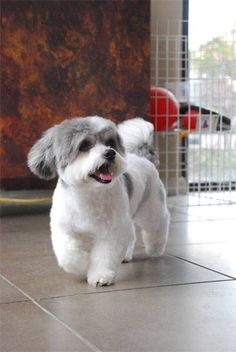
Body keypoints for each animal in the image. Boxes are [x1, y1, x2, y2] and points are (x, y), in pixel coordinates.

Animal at [28, 115, 170, 286]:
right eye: (84, 145)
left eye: (110, 143)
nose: (110, 153)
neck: (89, 194)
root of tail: (142, 157)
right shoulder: (65, 228)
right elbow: (68, 254)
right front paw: (82, 264)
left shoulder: (111, 231)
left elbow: (104, 256)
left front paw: (100, 276)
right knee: (131, 233)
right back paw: (125, 255)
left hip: (151, 207)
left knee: (158, 225)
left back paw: (155, 248)